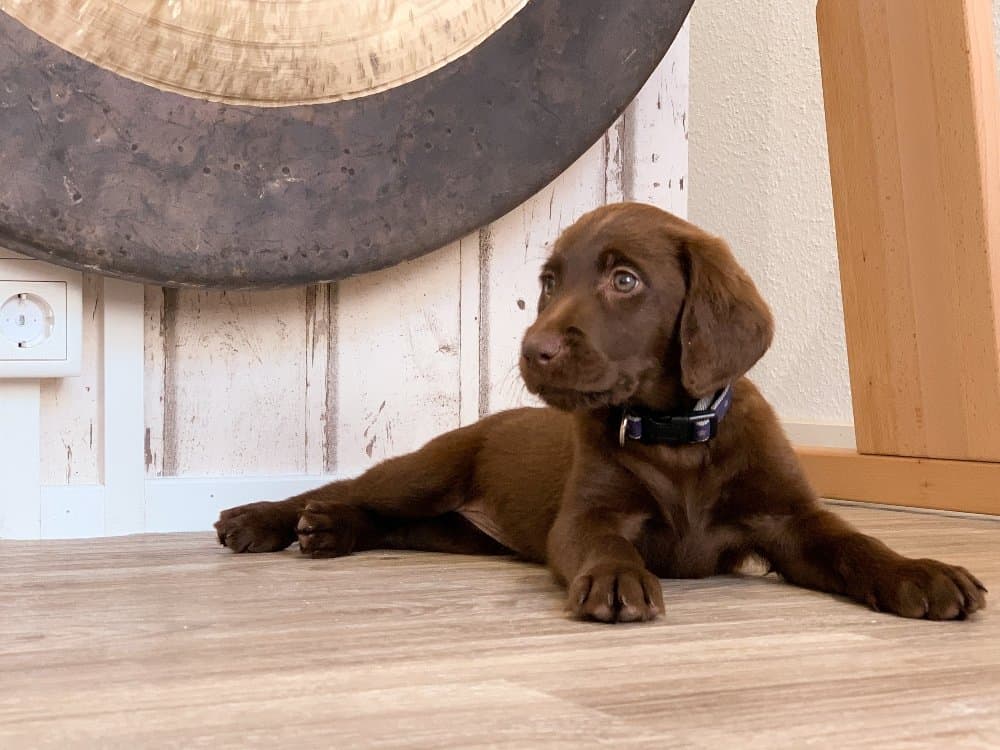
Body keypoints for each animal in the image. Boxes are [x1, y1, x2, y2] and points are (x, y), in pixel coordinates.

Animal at [215, 203, 988, 624]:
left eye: (625, 280)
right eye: (550, 282)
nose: (533, 349)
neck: (675, 437)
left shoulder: (791, 520)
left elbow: (861, 545)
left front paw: (921, 573)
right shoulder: (589, 515)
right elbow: (604, 544)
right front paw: (618, 580)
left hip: (465, 535)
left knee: (396, 525)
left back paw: (329, 532)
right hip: (429, 471)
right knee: (345, 489)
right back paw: (266, 520)